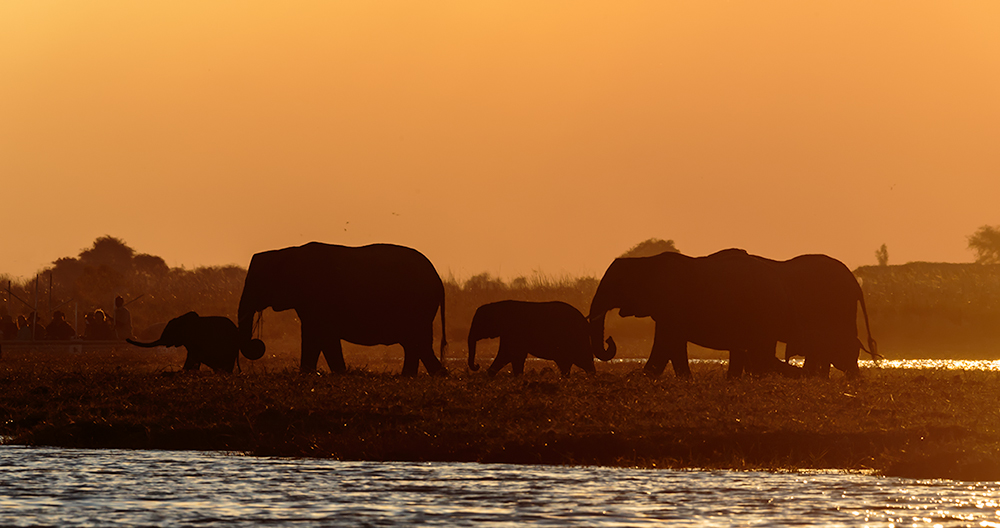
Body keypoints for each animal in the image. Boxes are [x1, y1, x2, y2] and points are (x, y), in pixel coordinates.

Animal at [235, 243, 446, 376]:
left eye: (257, 282)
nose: (257, 344)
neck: (286, 252)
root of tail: (439, 279)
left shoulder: (317, 298)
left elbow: (322, 335)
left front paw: (334, 373)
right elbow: (316, 336)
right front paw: (313, 373)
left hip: (417, 307)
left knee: (416, 343)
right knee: (416, 344)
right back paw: (424, 375)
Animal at [588, 249, 800, 380]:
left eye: (614, 286)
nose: (609, 340)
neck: (645, 262)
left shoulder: (671, 302)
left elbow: (667, 342)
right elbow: (670, 343)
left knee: (759, 351)